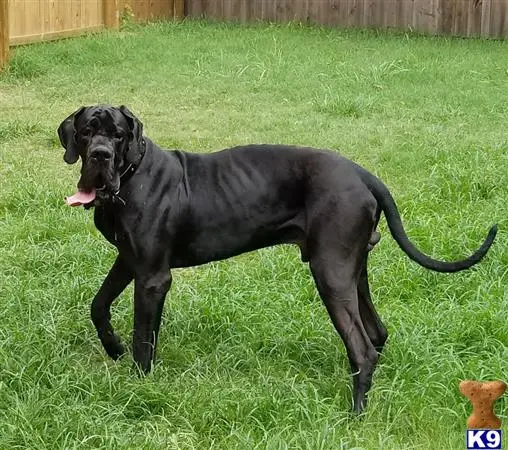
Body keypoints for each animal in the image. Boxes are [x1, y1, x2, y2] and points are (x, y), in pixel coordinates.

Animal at [58, 105, 496, 414]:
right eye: (86, 132)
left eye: (117, 135)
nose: (99, 155)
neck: (131, 177)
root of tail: (362, 173)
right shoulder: (129, 260)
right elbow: (99, 305)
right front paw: (113, 347)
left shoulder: (152, 276)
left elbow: (144, 337)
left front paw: (139, 384)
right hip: (353, 271)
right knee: (376, 332)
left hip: (330, 272)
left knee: (362, 345)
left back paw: (355, 413)